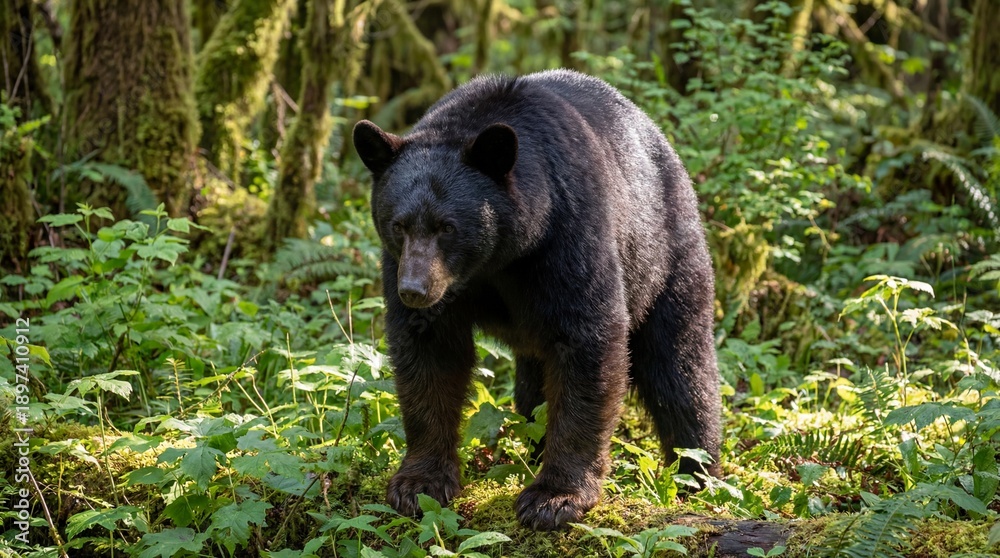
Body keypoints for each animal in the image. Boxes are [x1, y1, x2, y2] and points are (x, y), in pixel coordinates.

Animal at [353, 69, 721, 531]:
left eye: (447, 226)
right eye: (399, 225)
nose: (414, 290)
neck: (500, 257)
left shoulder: (568, 235)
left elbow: (588, 342)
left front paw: (554, 497)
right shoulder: (405, 269)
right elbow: (429, 354)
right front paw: (419, 483)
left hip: (666, 255)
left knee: (680, 366)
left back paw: (699, 471)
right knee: (535, 389)